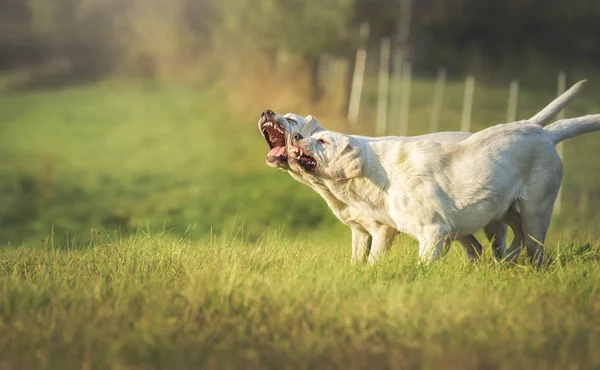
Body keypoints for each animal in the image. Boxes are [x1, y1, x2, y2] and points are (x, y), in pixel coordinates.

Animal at [258, 81, 584, 266]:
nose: (266, 111)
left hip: (531, 212)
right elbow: (356, 263)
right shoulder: (359, 232)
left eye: (291, 119)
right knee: (493, 247)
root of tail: (539, 129)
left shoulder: (390, 230)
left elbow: (379, 263)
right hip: (494, 217)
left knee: (525, 246)